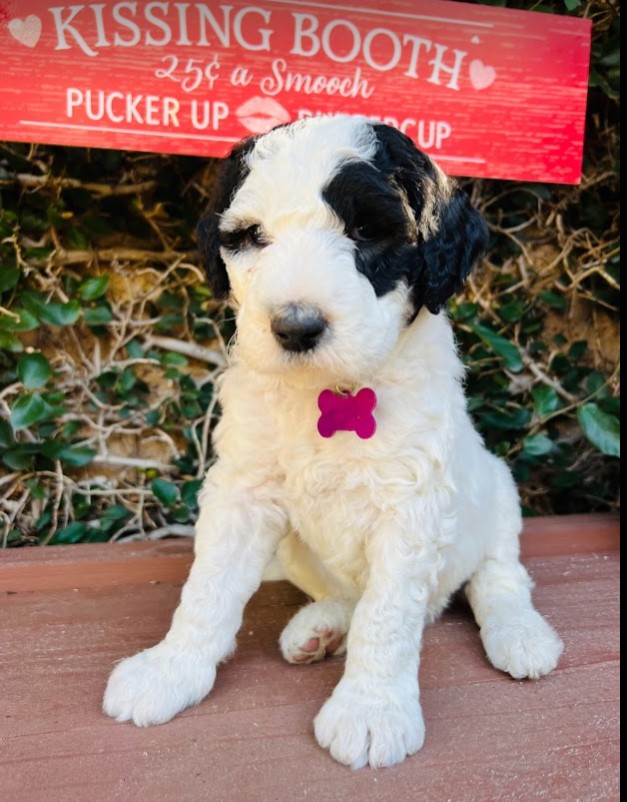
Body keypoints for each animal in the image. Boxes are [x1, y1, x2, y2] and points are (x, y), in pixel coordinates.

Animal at [104, 114, 564, 768]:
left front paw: (372, 711)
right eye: (251, 237)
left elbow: (388, 613)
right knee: (354, 592)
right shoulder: (243, 489)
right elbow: (209, 586)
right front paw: (170, 670)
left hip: (497, 489)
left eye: (368, 231)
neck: (332, 391)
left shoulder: (411, 503)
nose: (296, 326)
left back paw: (519, 634)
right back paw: (319, 627)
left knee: (495, 576)